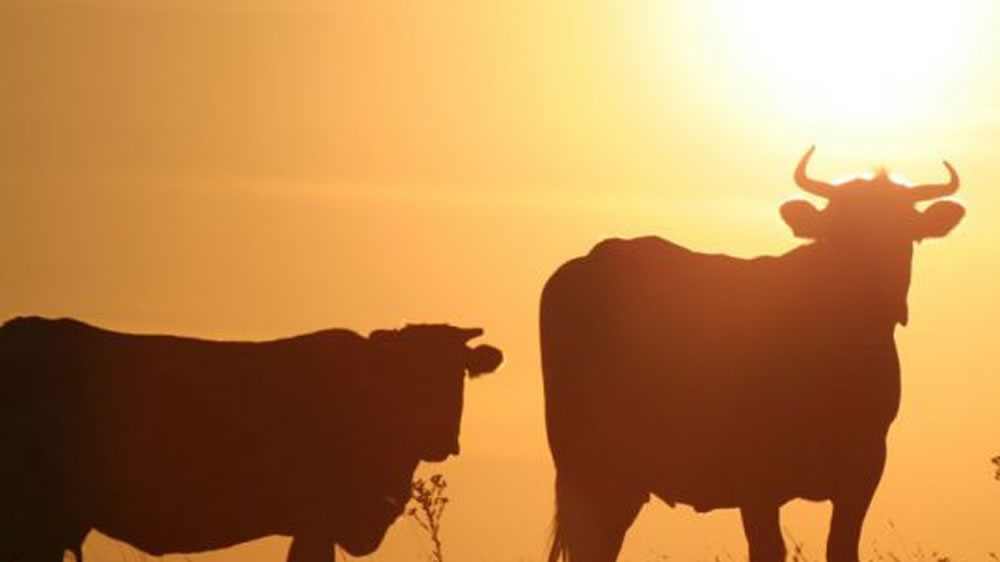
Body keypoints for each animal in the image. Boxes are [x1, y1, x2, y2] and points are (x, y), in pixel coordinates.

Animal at [540, 148, 968, 560]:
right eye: (837, 232)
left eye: (906, 233)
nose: (882, 295)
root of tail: (596, 257)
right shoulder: (755, 478)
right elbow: (768, 549)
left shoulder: (864, 467)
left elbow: (842, 547)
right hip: (588, 465)